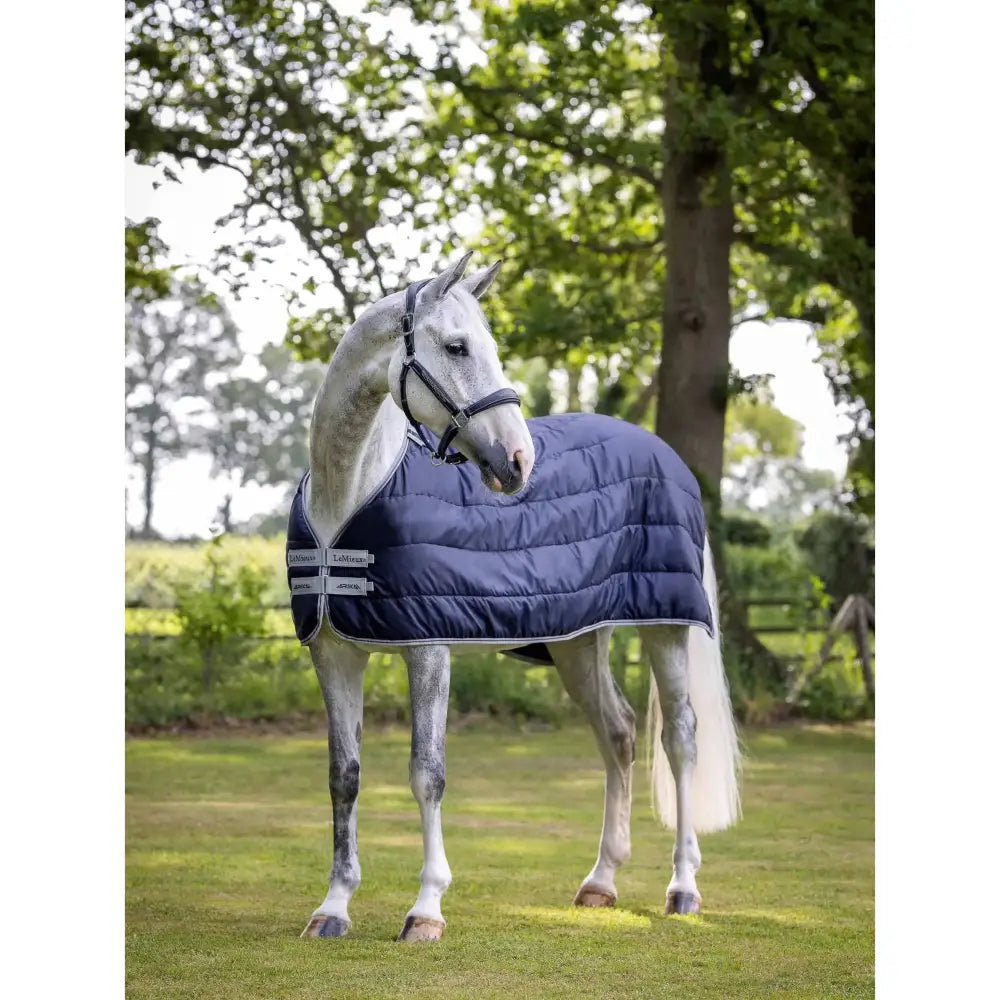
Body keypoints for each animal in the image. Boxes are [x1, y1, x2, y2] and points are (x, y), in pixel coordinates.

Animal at [287, 251, 741, 942]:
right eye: (456, 346)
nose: (519, 461)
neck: (349, 495)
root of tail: (667, 457)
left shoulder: (428, 649)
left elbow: (427, 775)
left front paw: (426, 909)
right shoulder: (335, 653)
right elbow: (345, 777)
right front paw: (333, 908)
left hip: (666, 629)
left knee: (680, 740)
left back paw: (683, 887)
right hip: (580, 643)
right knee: (619, 733)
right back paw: (600, 882)